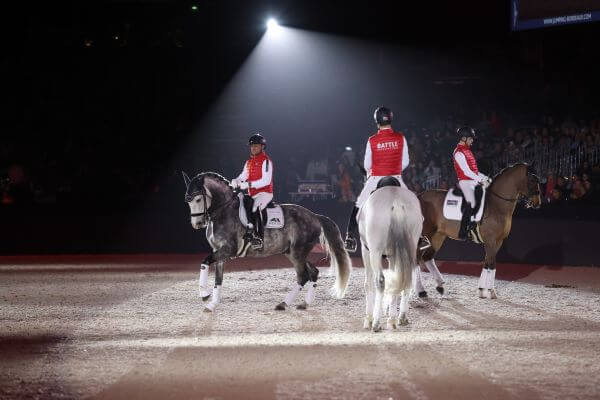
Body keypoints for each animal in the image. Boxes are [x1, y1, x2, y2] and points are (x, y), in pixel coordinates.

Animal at [183, 170, 352, 310]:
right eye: (188, 201)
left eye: (198, 199)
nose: (197, 224)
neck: (223, 210)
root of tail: (315, 216)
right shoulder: (219, 252)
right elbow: (218, 280)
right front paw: (212, 304)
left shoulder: (227, 250)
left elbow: (204, 262)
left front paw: (204, 294)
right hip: (293, 252)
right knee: (313, 272)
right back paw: (304, 304)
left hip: (298, 253)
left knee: (303, 275)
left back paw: (284, 304)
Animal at [418, 162, 540, 296]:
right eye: (533, 180)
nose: (537, 203)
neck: (496, 205)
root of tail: (420, 195)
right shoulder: (490, 240)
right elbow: (491, 264)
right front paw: (491, 291)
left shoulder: (498, 241)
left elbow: (487, 263)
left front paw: (482, 290)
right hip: (425, 233)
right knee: (417, 258)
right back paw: (421, 291)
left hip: (438, 235)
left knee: (427, 257)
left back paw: (440, 285)